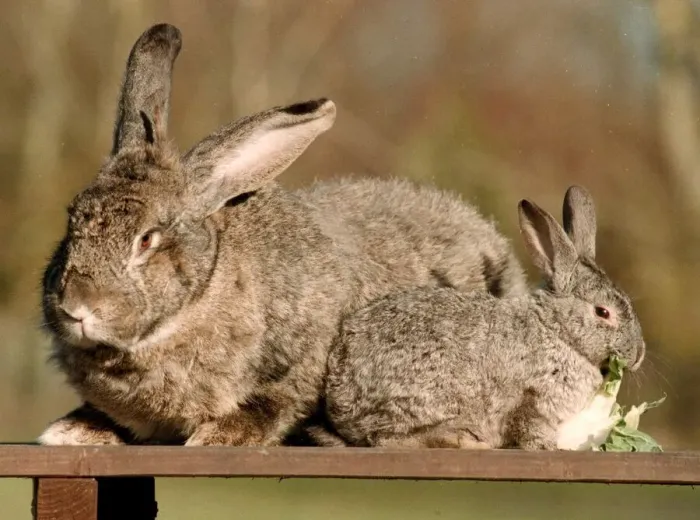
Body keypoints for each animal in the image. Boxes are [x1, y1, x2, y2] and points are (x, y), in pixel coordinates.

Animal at [37, 23, 526, 447]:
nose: (76, 306)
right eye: (71, 219)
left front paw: (220, 435)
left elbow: (277, 402)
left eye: (147, 239)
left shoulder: (310, 360)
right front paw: (70, 430)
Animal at [324, 186, 646, 450]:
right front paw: (546, 447)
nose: (638, 354)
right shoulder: (533, 398)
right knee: (384, 438)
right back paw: (460, 440)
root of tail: (339, 396)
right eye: (603, 312)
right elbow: (529, 427)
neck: (557, 331)